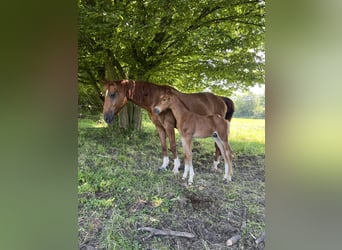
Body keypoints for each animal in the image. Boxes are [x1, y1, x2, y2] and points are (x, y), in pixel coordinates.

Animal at [101, 80, 234, 174]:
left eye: (112, 94)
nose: (106, 118)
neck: (155, 97)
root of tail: (221, 99)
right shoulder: (159, 127)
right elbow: (164, 146)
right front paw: (164, 166)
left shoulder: (168, 126)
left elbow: (173, 146)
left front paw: (176, 167)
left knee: (218, 147)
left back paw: (215, 166)